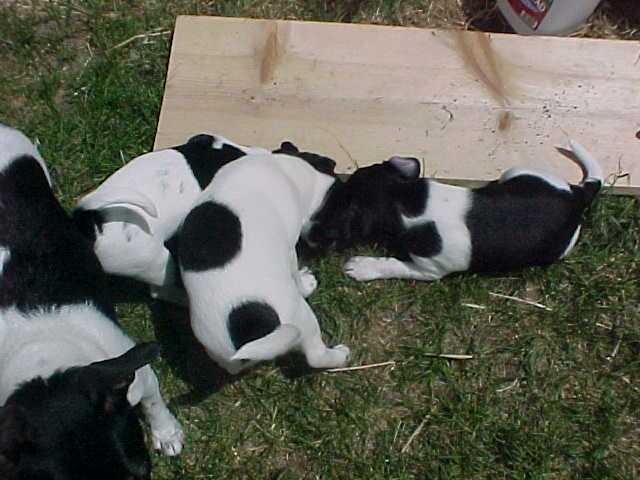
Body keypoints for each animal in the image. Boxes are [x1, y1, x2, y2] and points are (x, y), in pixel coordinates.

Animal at [178, 142, 352, 376]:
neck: (284, 167)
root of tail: (244, 338)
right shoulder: (289, 247)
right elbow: (295, 273)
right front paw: (306, 283)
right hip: (300, 317)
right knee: (315, 356)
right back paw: (340, 355)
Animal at [308, 139, 604, 282]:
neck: (407, 199)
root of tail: (578, 195)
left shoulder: (428, 270)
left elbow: (393, 264)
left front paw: (362, 267)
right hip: (520, 171)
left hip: (556, 250)